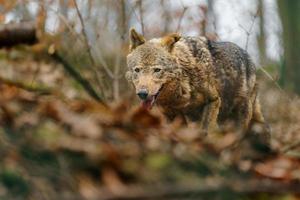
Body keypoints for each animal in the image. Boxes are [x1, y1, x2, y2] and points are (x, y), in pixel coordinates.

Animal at [125, 27, 270, 138]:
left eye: (157, 70)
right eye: (137, 70)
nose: (142, 93)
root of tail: (249, 57)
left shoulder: (213, 100)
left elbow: (206, 132)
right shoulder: (170, 117)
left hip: (239, 115)